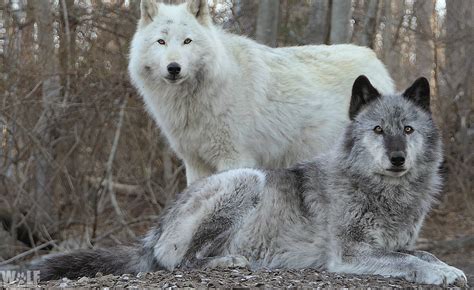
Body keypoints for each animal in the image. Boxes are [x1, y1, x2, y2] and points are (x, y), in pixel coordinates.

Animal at [36, 75, 466, 286]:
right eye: (377, 130)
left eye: (408, 130)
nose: (397, 158)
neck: (381, 191)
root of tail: (156, 227)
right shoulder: (349, 254)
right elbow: (408, 261)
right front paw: (442, 273)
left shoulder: (398, 243)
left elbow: (422, 253)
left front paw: (446, 265)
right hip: (247, 179)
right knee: (179, 262)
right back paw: (232, 260)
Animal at [128, 0, 394, 185]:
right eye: (161, 42)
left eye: (187, 41)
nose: (174, 68)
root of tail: (375, 59)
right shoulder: (194, 163)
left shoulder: (234, 159)